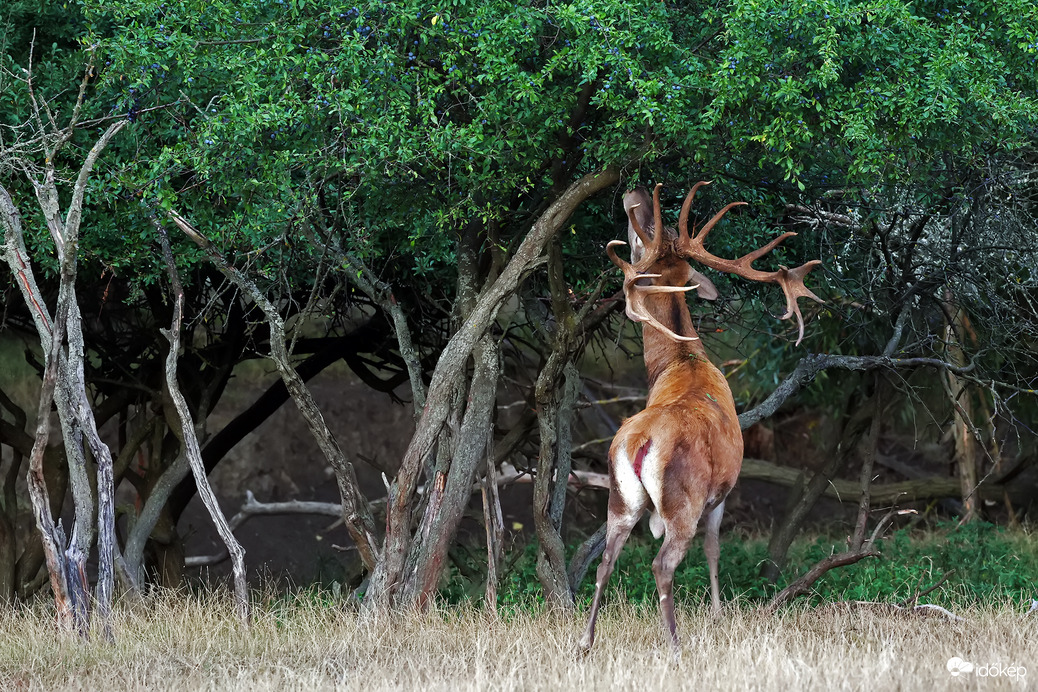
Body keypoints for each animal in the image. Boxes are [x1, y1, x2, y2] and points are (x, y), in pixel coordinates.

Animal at [581, 181, 822, 651]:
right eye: (640, 240)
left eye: (666, 228)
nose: (636, 193)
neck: (683, 362)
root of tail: (640, 442)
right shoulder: (722, 492)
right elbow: (714, 550)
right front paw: (717, 615)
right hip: (683, 499)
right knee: (663, 564)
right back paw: (675, 643)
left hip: (620, 497)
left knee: (605, 560)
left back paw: (586, 641)